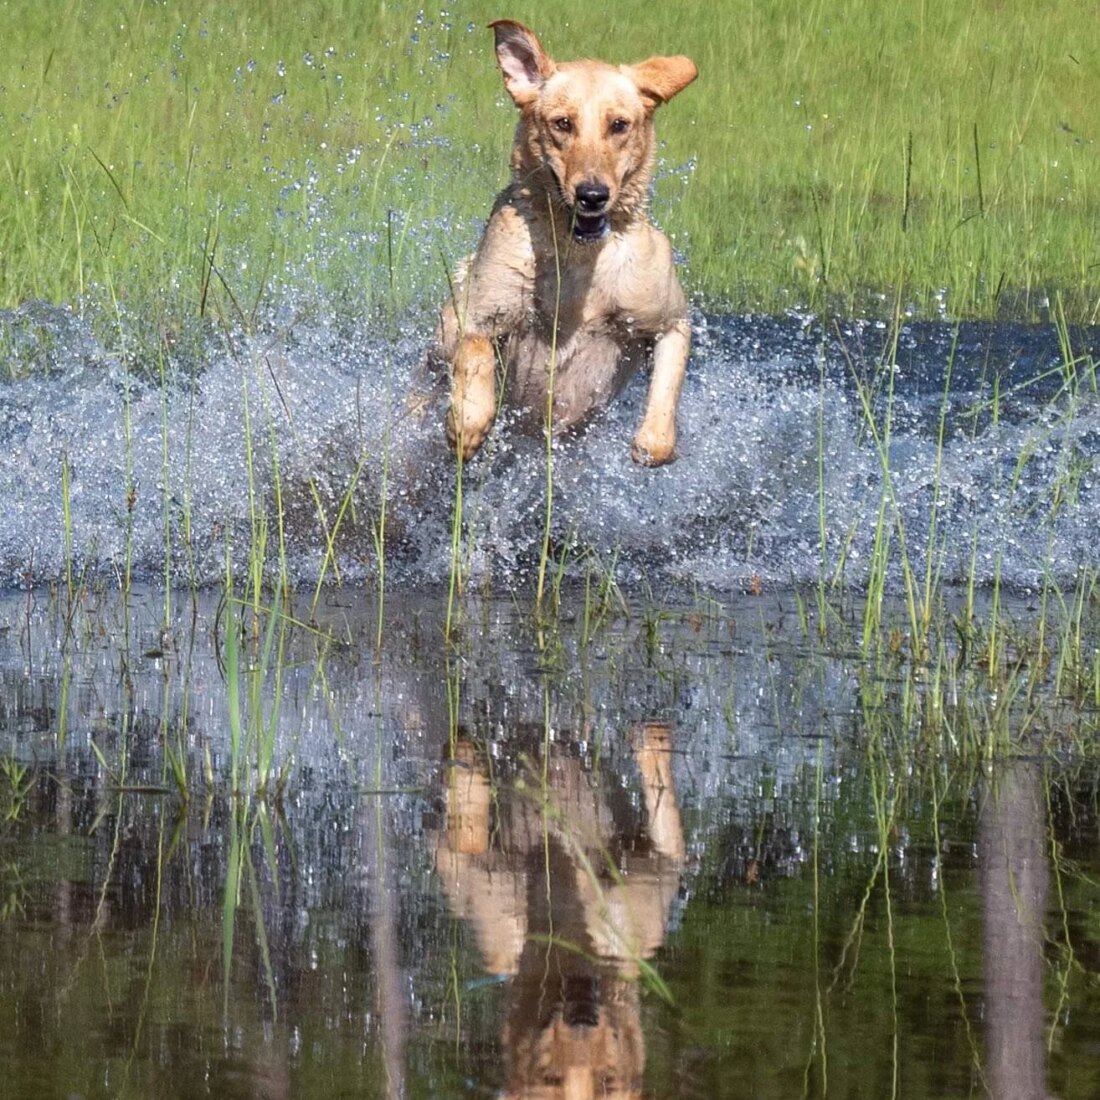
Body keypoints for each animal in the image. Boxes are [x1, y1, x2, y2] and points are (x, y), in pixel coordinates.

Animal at [429, 22, 695, 464]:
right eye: (563, 123)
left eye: (619, 125)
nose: (592, 195)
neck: (579, 259)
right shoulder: (475, 313)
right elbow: (475, 354)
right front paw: (466, 424)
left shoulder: (672, 321)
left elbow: (661, 427)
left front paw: (648, 442)